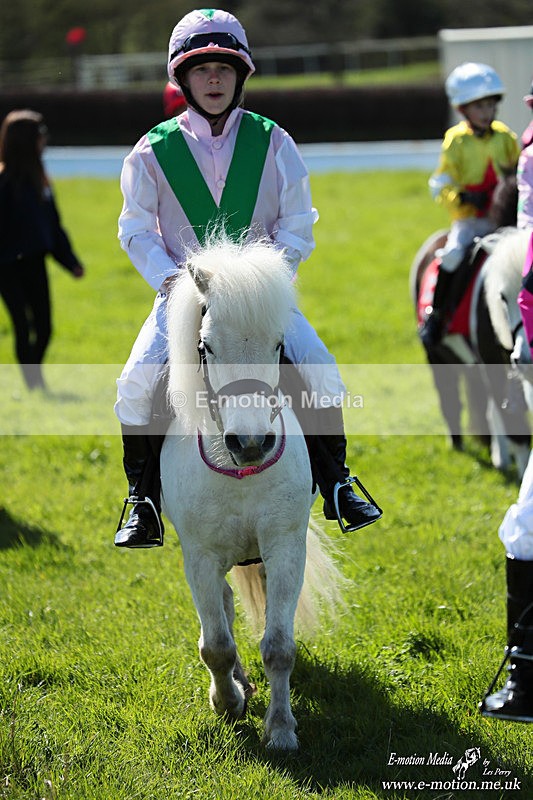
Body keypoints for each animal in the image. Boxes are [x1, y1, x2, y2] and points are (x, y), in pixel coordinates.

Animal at [159, 233, 343, 752]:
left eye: (278, 344)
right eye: (205, 346)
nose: (252, 442)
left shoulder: (284, 546)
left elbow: (279, 646)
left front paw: (280, 729)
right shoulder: (199, 555)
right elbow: (216, 645)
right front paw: (227, 702)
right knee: (221, 606)